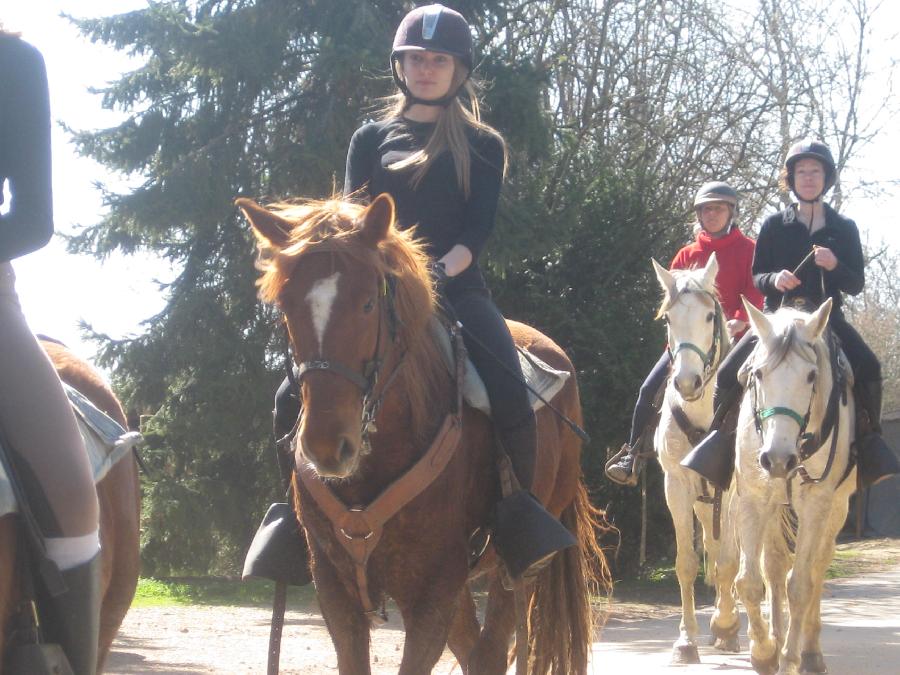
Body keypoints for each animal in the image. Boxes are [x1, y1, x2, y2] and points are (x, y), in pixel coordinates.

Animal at [239, 193, 608, 672]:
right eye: (286, 307)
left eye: (368, 304)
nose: (326, 446)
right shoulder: (335, 588)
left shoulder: (434, 587)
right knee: (475, 651)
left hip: (509, 570)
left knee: (491, 648)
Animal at [736, 302, 856, 675]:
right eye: (758, 374)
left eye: (811, 376)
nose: (777, 459)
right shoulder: (754, 498)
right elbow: (749, 582)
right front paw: (763, 652)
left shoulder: (817, 504)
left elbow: (801, 585)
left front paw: (789, 658)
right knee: (774, 567)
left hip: (837, 508)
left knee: (816, 568)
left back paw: (810, 653)